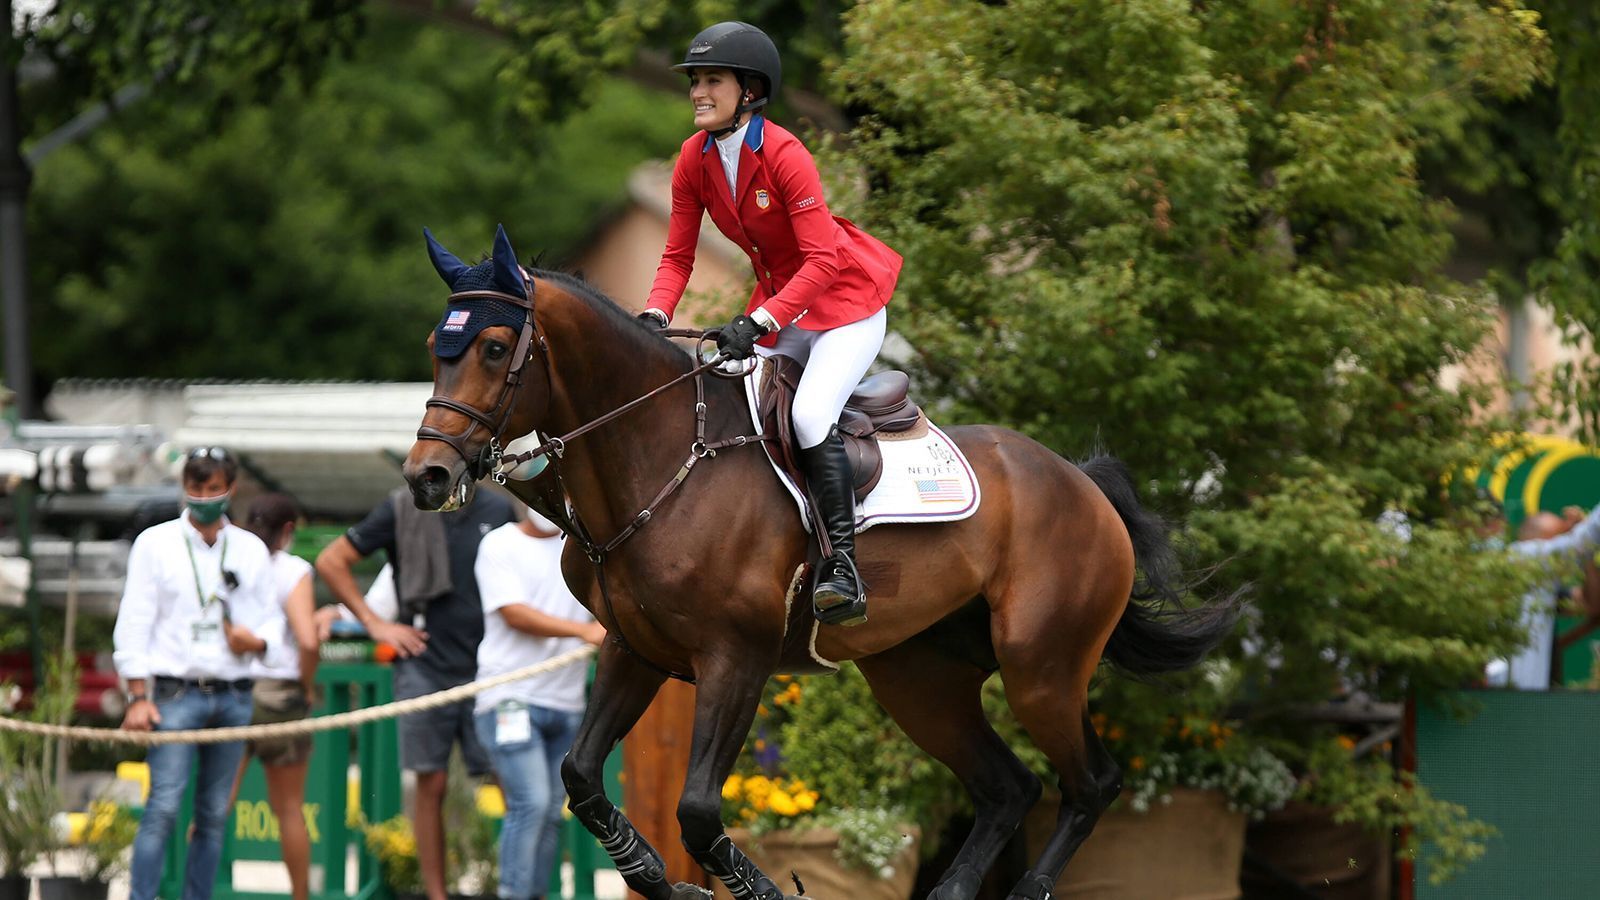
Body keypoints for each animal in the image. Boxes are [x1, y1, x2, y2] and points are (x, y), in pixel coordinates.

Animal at [400, 227, 1235, 896]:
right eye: (437, 350)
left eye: (495, 349)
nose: (426, 478)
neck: (661, 459)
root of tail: (1082, 482)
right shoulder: (637, 649)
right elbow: (580, 778)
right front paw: (659, 878)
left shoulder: (736, 656)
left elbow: (697, 810)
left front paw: (752, 889)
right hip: (919, 679)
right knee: (1009, 788)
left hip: (1041, 667)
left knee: (1090, 785)